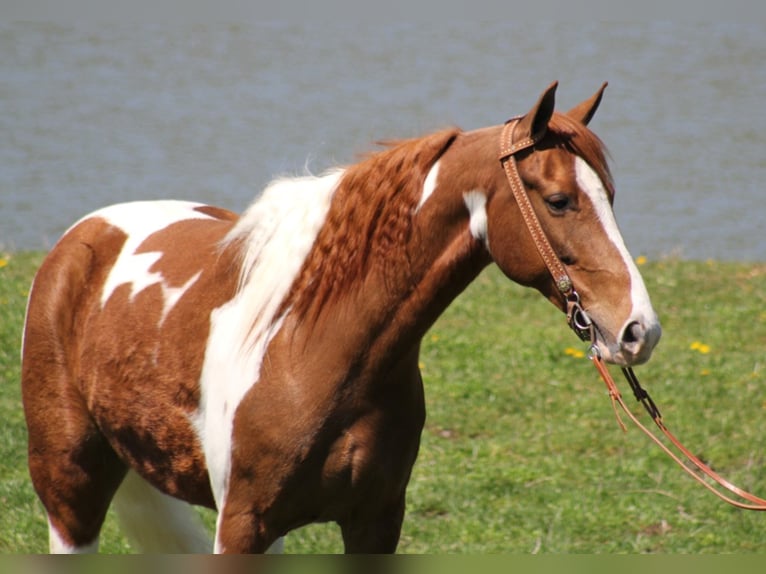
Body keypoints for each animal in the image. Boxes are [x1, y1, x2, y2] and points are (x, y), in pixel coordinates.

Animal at [21, 83, 664, 556]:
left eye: (609, 194)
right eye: (558, 201)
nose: (639, 330)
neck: (310, 349)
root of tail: (83, 236)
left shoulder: (374, 522)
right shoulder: (241, 527)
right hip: (70, 490)